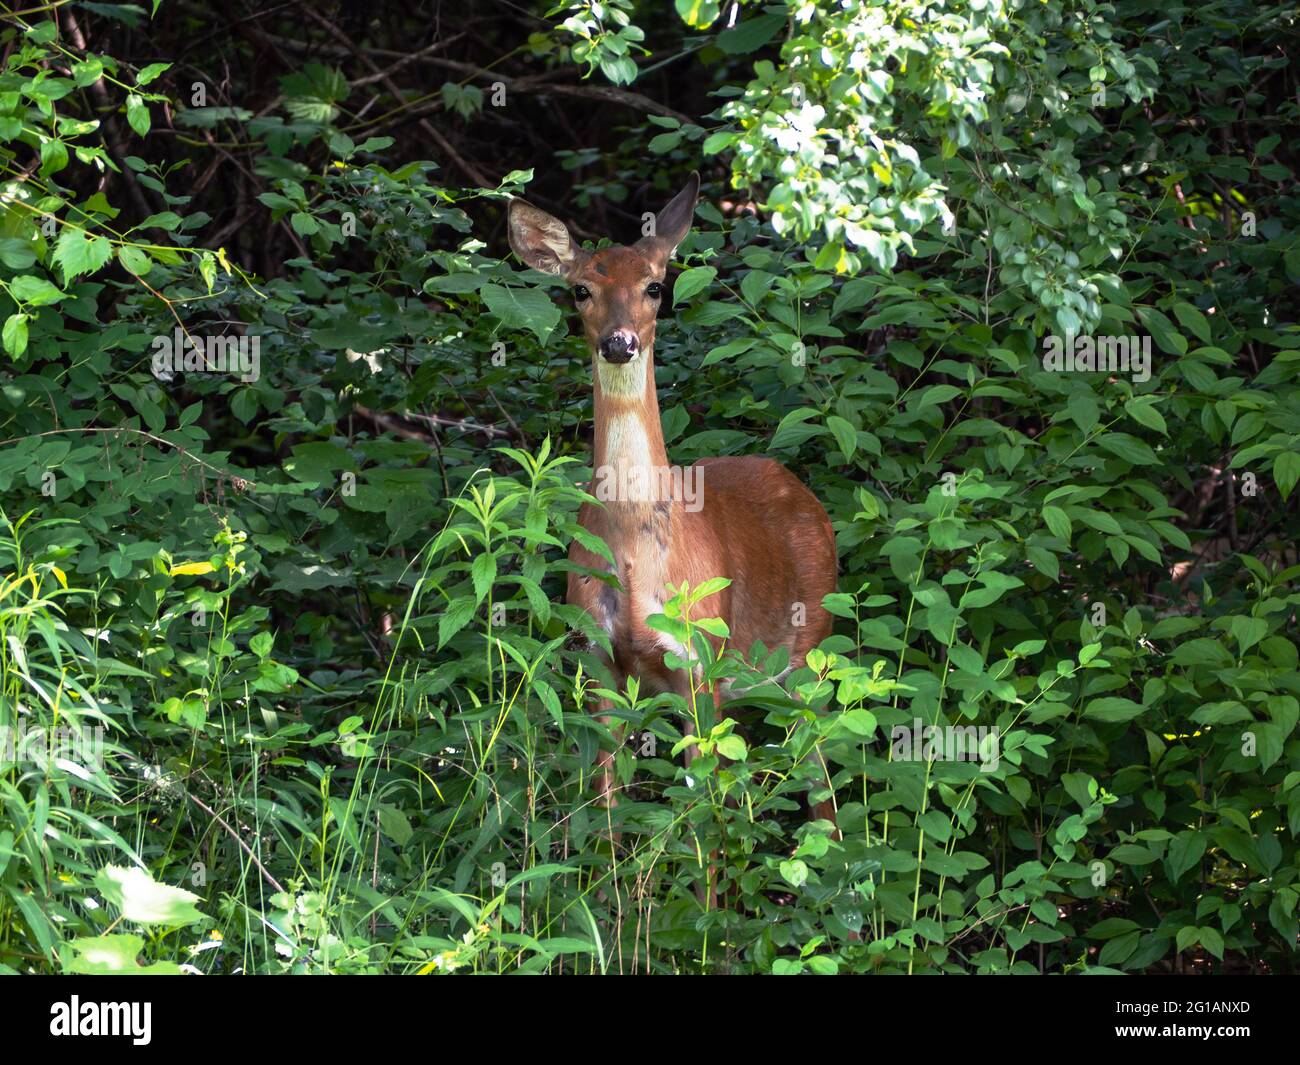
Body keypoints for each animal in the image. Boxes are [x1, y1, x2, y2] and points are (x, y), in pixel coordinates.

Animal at [506, 175, 842, 837]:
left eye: (654, 286)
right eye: (580, 289)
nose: (619, 342)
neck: (637, 558)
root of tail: (797, 483)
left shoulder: (698, 663)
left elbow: (704, 822)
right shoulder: (598, 663)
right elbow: (608, 813)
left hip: (809, 655)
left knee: (820, 783)